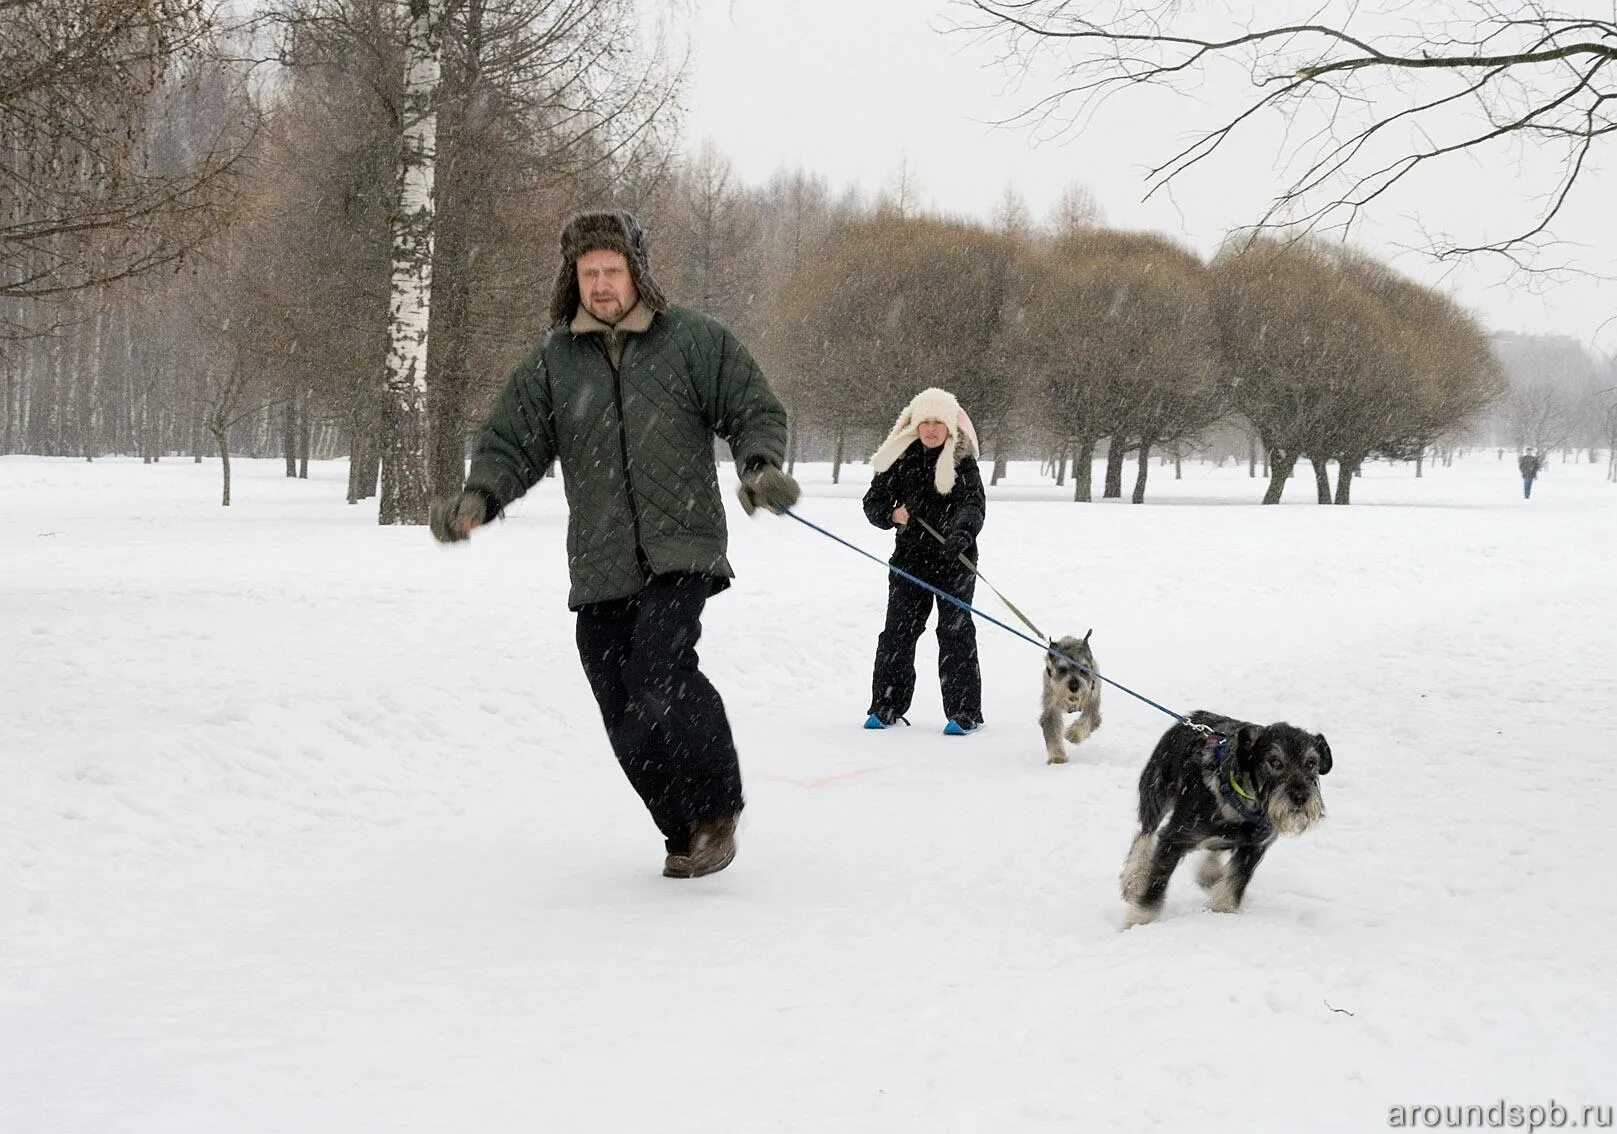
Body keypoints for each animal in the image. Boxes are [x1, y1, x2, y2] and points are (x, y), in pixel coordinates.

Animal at [1041, 627, 1106, 760]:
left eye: (1083, 669)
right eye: (1062, 670)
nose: (1074, 687)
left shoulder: (1093, 706)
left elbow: (1086, 720)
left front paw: (1073, 734)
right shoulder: (1051, 710)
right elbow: (1053, 732)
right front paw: (1057, 757)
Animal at [1118, 708, 1332, 931]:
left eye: (1311, 763)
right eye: (1275, 761)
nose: (1300, 797)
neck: (1242, 805)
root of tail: (1192, 716)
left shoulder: (1253, 849)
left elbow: (1234, 885)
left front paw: (1221, 913)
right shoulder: (1175, 838)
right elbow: (1155, 883)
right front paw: (1139, 920)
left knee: (1215, 848)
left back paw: (1210, 873)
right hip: (1156, 793)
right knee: (1145, 833)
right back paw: (1133, 879)